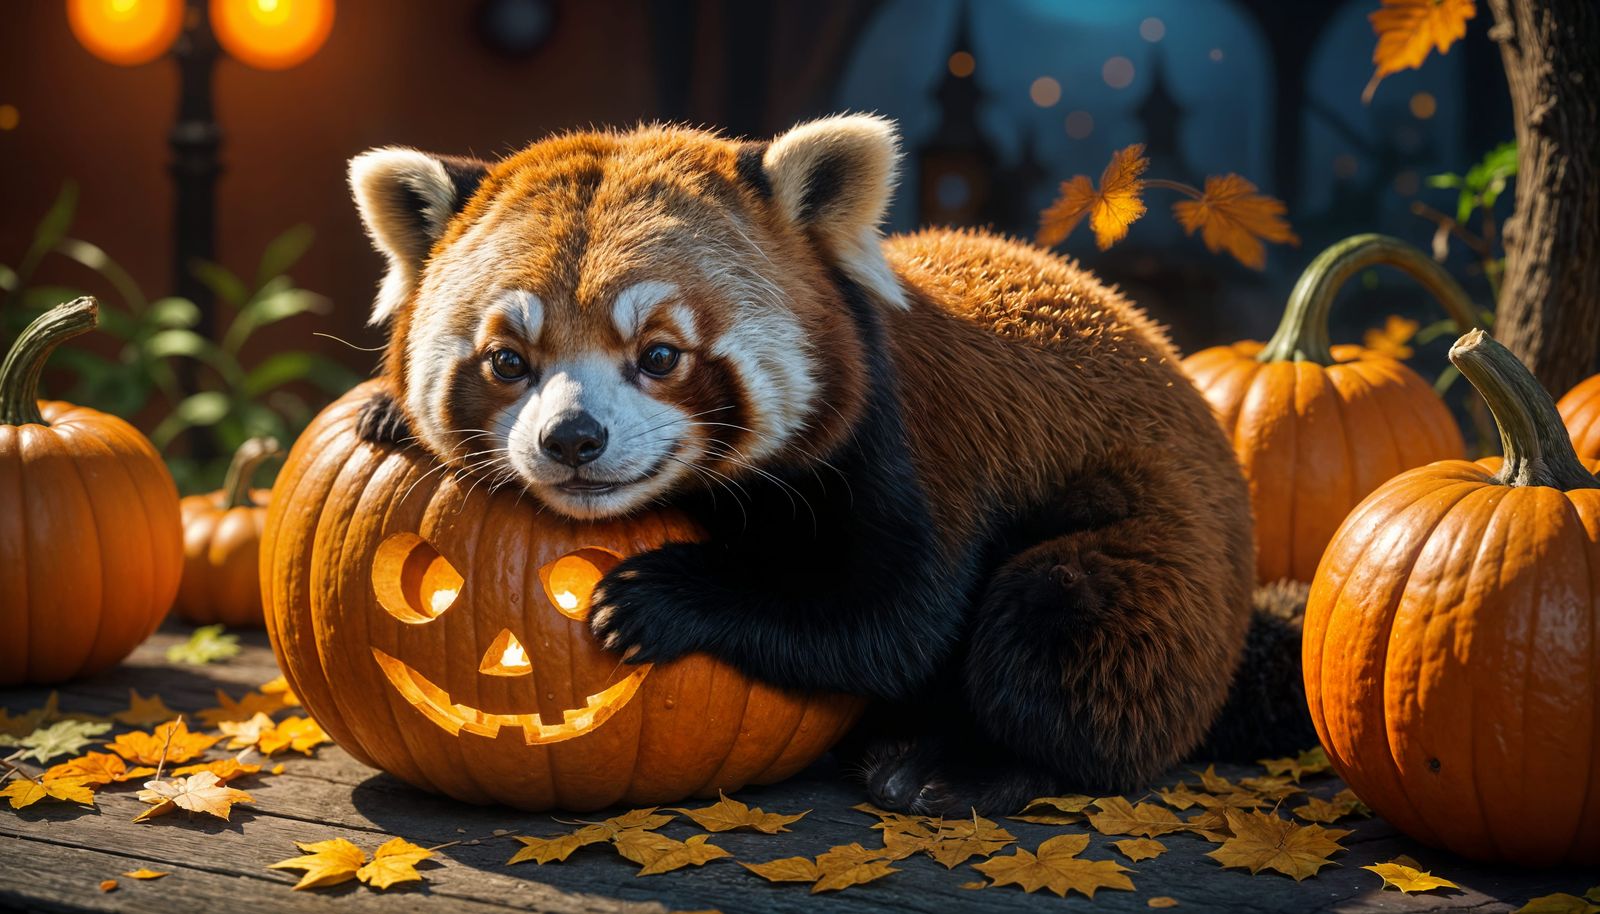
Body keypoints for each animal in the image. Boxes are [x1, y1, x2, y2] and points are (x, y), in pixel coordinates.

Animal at [346, 114, 1280, 815]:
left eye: (659, 356)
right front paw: (389, 410)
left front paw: (664, 596)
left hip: (1159, 557)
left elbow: (887, 620)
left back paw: (959, 767)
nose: (572, 439)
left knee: (1053, 625)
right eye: (508, 361)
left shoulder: (902, 452)